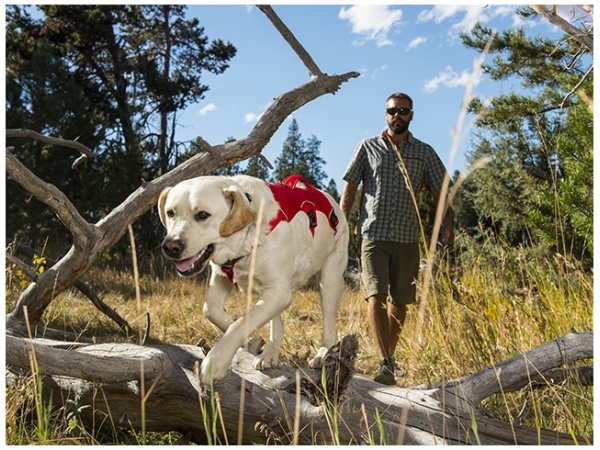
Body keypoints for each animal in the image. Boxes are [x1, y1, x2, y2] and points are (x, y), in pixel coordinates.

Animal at [157, 174, 350, 384]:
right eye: (170, 213)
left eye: (202, 215)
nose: (170, 246)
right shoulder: (222, 276)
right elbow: (211, 309)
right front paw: (233, 324)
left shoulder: (278, 292)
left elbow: (240, 324)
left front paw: (216, 362)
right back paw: (270, 354)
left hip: (329, 277)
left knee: (329, 325)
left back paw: (322, 354)